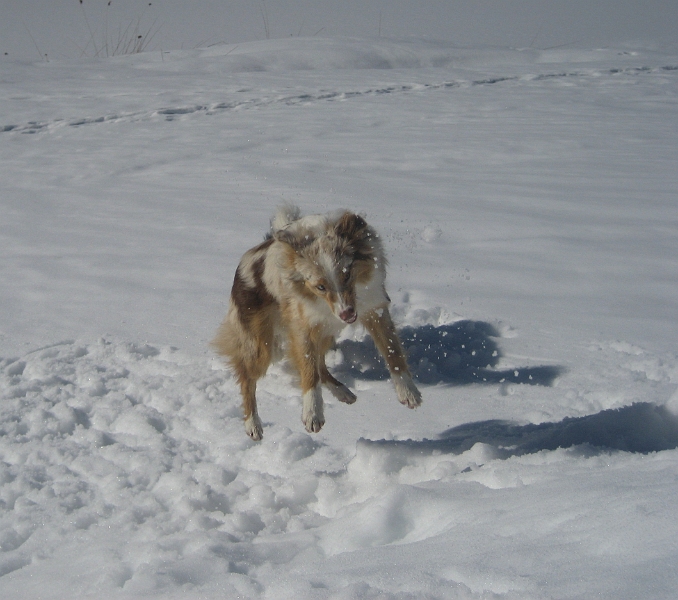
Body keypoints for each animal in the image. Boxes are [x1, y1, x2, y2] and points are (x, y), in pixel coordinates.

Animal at [212, 205, 422, 440]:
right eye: (320, 287)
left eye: (347, 275)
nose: (347, 314)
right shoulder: (302, 325)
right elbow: (309, 371)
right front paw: (312, 413)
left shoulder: (374, 308)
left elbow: (392, 351)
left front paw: (408, 392)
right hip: (262, 344)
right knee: (247, 377)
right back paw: (253, 424)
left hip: (326, 332)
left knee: (320, 362)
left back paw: (343, 391)